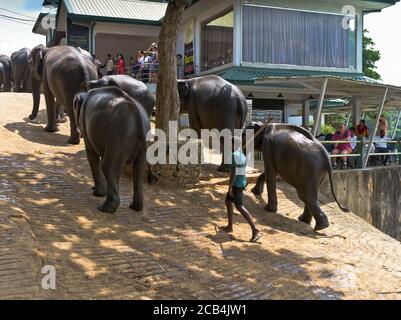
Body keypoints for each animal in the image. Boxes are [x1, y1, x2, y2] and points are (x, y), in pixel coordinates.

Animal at [73, 86, 152, 214]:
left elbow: (91, 153)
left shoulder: (85, 124)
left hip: (118, 136)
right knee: (139, 168)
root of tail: (137, 113)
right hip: (141, 139)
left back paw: (104, 208)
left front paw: (97, 193)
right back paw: (135, 207)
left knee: (107, 166)